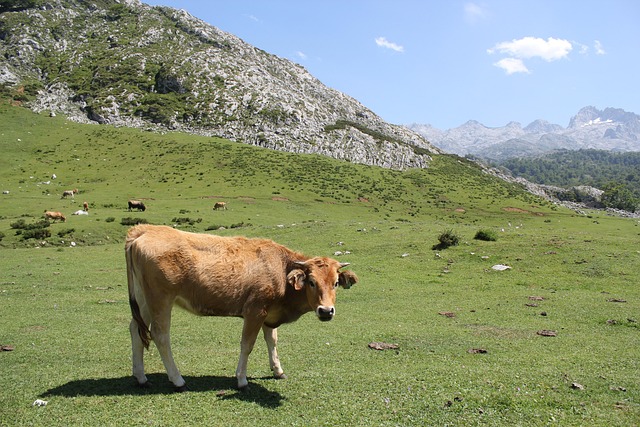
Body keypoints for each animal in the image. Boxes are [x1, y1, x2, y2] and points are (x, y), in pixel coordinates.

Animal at [125, 226, 356, 392]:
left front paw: (278, 370)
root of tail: (144, 230)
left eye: (336, 283)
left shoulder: (269, 313)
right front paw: (242, 380)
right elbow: (247, 345)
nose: (326, 311)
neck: (281, 269)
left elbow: (272, 341)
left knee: (136, 330)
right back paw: (178, 380)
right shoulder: (255, 311)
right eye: (311, 282)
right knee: (160, 335)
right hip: (161, 299)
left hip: (143, 300)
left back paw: (141, 377)